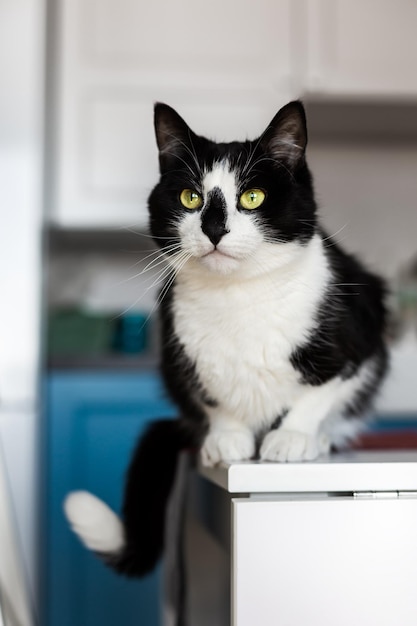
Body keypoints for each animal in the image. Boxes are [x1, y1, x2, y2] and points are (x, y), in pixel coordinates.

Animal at [64, 101, 386, 576]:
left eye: (252, 197)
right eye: (190, 198)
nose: (214, 229)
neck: (238, 295)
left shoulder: (358, 338)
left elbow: (322, 390)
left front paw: (292, 436)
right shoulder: (182, 352)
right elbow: (212, 395)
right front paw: (227, 437)